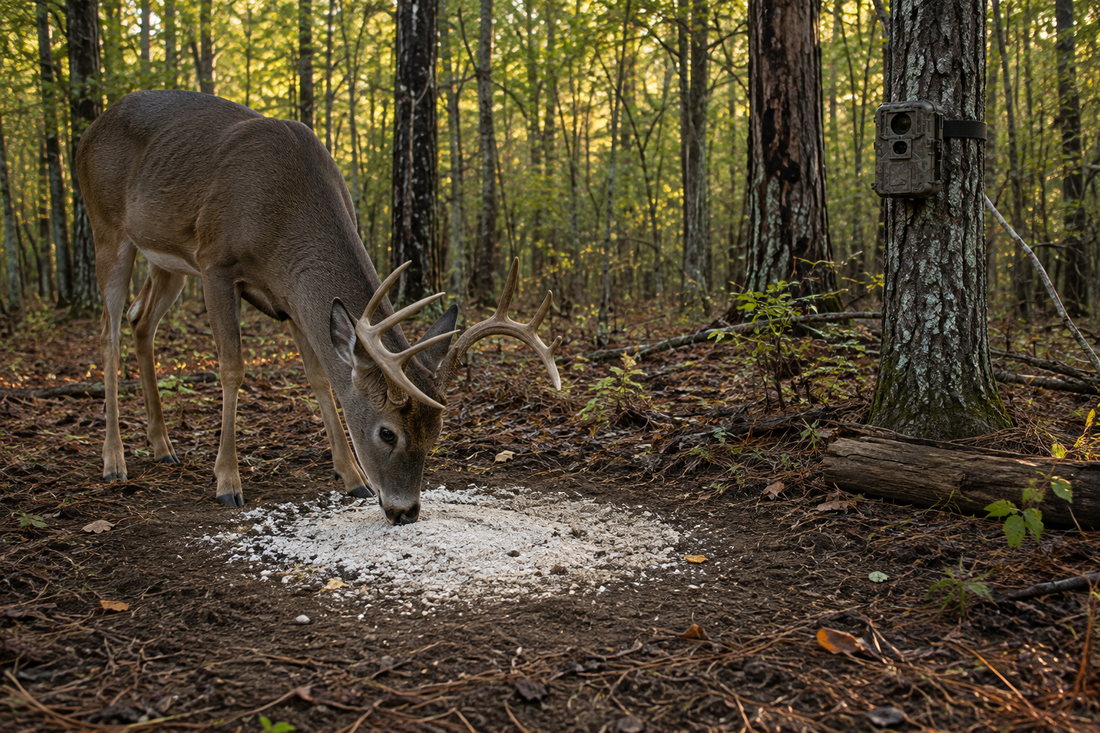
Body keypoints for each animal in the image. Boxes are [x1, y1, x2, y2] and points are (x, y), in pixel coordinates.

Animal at [76, 90, 560, 525]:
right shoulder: (215, 261)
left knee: (141, 321)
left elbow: (320, 378)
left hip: (167, 260)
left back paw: (163, 447)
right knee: (108, 332)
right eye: (387, 432)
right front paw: (227, 482)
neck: (281, 218)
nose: (405, 512)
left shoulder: (291, 296)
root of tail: (90, 129)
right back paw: (114, 461)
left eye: (436, 432)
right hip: (107, 228)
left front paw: (352, 478)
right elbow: (232, 368)